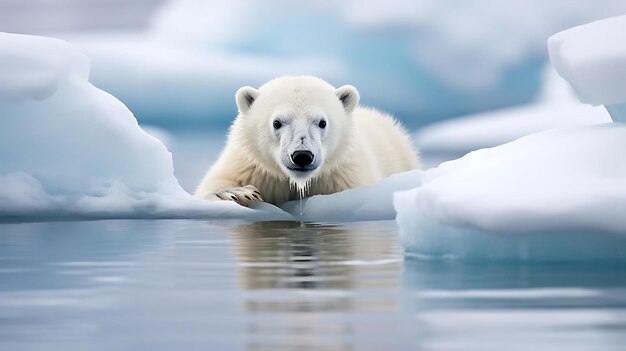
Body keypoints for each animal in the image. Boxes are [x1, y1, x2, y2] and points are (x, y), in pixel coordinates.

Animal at [194, 75, 420, 206]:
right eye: (277, 123)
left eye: (322, 122)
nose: (302, 155)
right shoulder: (251, 164)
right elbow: (211, 186)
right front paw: (237, 192)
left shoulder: (342, 175)